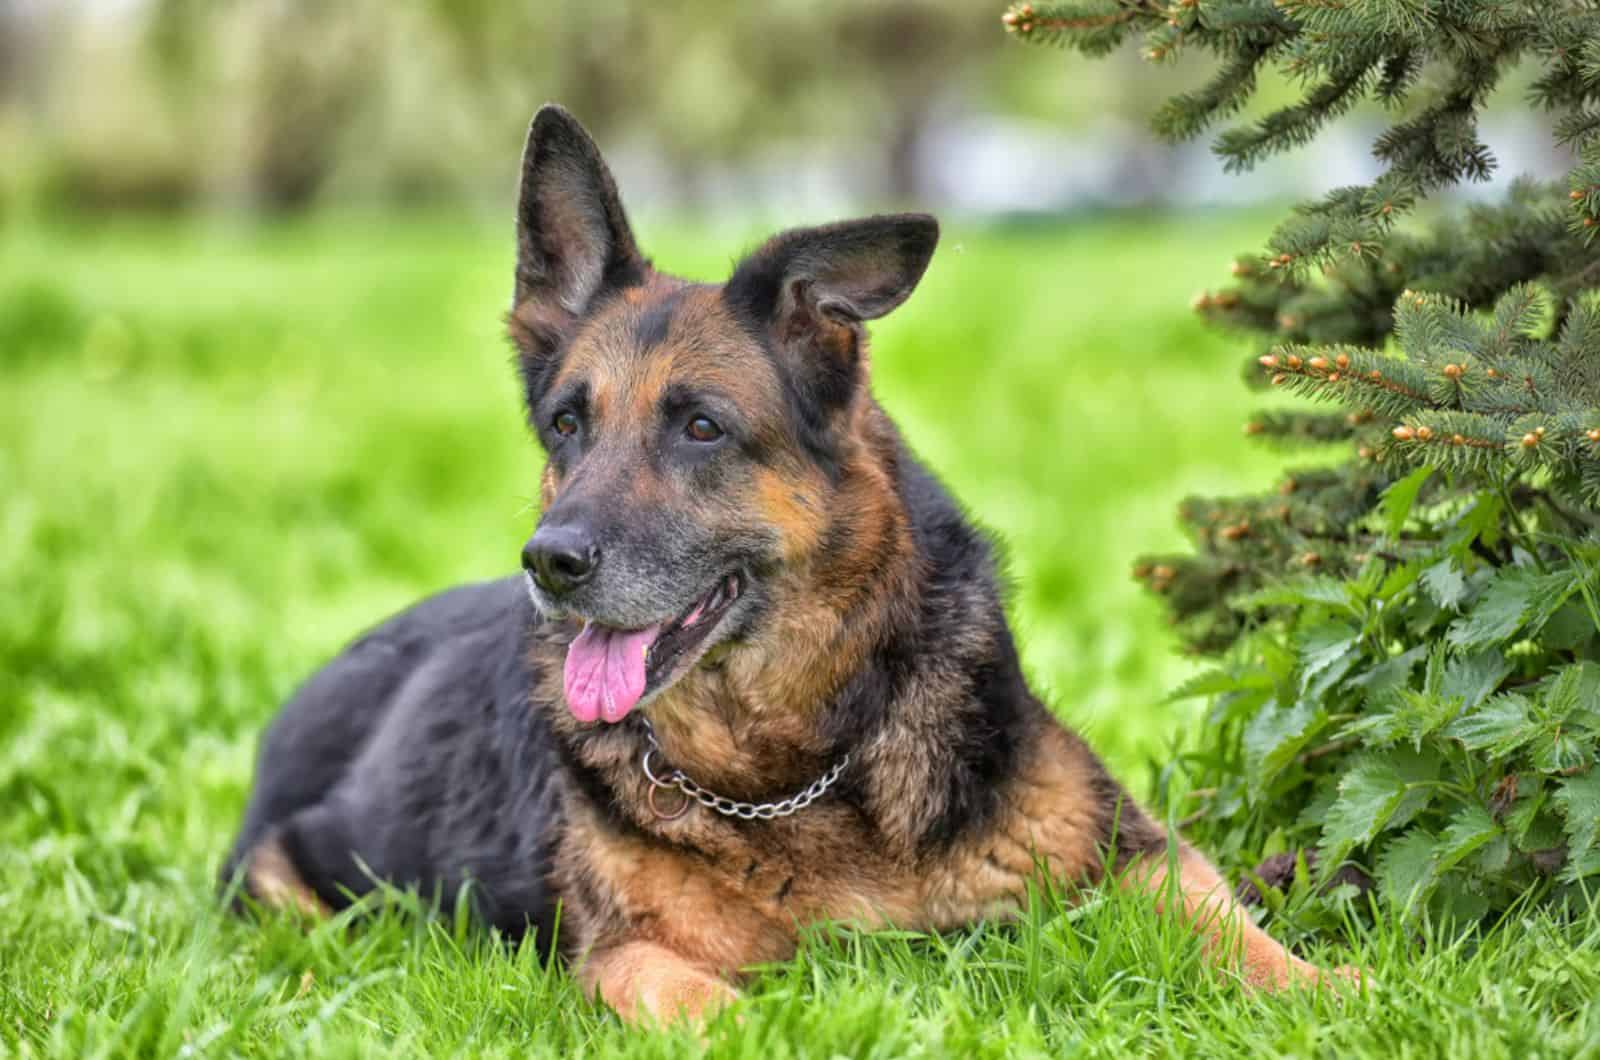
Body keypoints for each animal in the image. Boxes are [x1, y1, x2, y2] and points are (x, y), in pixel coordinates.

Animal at [222, 105, 1350, 1024]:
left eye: (702, 428)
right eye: (566, 425)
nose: (550, 561)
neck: (803, 766)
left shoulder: (1133, 854)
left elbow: (1233, 928)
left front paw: (1332, 988)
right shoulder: (628, 956)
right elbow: (712, 1005)